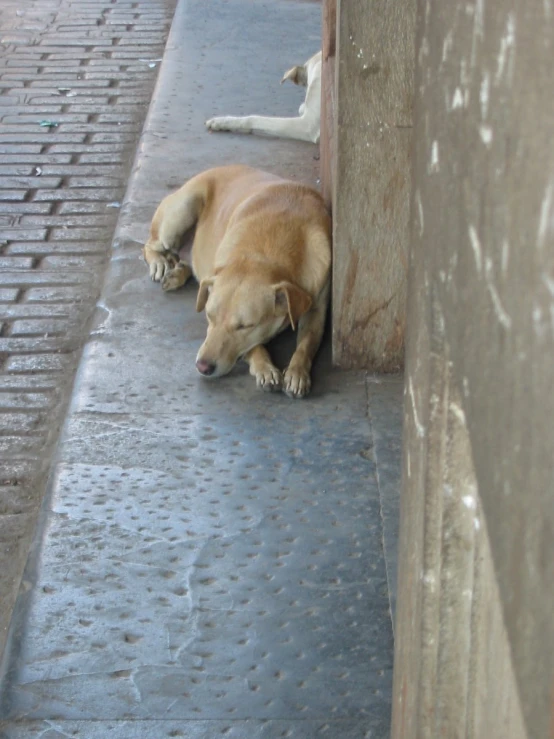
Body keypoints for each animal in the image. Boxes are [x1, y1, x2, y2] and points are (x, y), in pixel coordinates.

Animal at [143, 165, 332, 398]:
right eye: (209, 316)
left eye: (245, 326)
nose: (202, 366)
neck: (263, 253)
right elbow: (253, 347)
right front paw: (264, 366)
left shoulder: (316, 310)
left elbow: (306, 345)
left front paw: (297, 372)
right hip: (181, 212)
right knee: (149, 245)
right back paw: (160, 263)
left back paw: (178, 271)